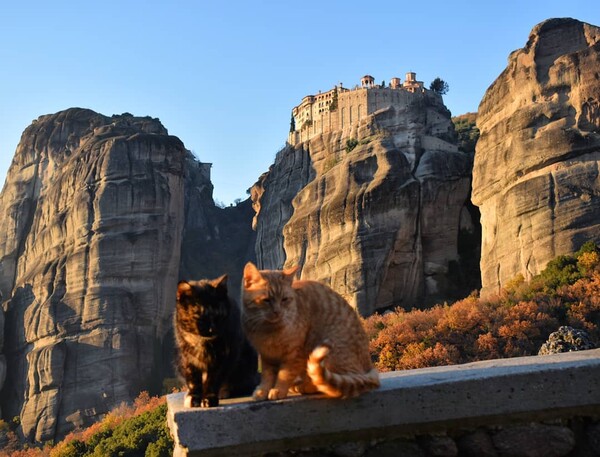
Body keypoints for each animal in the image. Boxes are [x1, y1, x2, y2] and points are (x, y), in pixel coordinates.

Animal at [175, 274, 256, 406]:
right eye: (200, 318)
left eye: (219, 316)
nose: (212, 330)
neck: (201, 342)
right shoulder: (187, 357)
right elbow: (193, 379)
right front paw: (193, 397)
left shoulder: (223, 355)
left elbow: (214, 379)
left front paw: (209, 398)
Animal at [240, 260, 378, 400]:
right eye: (266, 300)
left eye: (284, 299)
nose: (277, 312)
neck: (268, 330)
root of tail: (369, 368)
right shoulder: (267, 356)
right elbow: (267, 376)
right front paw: (263, 390)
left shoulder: (295, 354)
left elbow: (284, 374)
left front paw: (278, 390)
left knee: (333, 383)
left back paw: (304, 386)